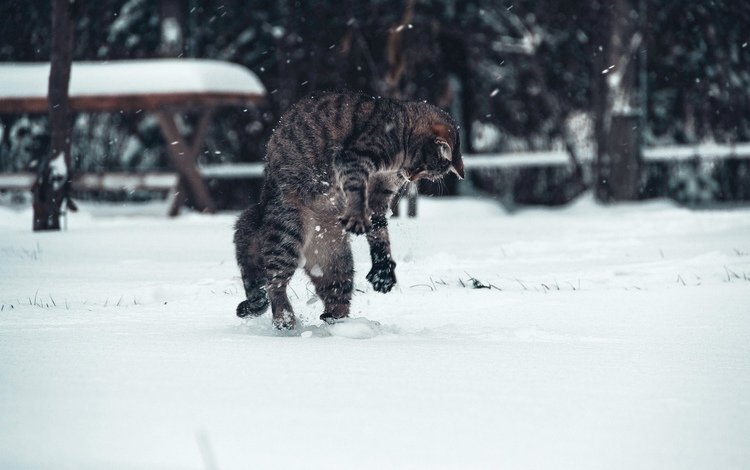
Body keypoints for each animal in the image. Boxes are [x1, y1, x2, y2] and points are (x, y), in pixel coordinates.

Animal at [234, 90, 464, 328]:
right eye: (424, 167)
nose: (411, 177)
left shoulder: (380, 194)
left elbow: (379, 232)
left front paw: (383, 268)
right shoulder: (354, 158)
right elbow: (356, 189)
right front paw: (357, 216)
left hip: (336, 261)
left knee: (335, 295)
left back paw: (338, 321)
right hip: (286, 233)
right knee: (274, 283)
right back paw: (284, 317)